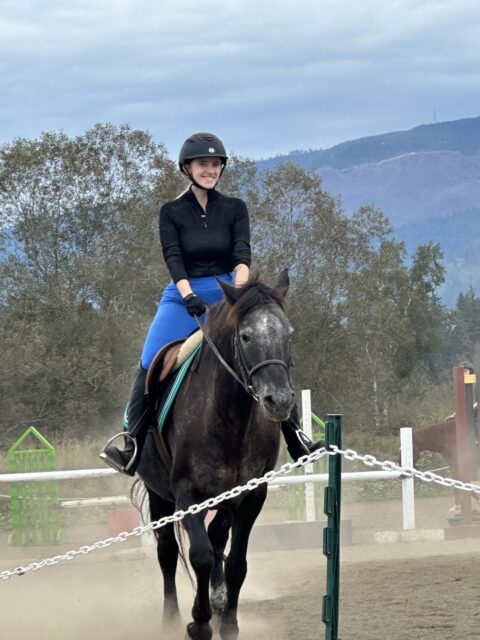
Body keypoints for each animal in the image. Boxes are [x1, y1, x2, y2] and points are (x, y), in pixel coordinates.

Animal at [135, 270, 295, 640]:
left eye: (288, 334)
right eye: (246, 336)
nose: (278, 401)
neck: (229, 417)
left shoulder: (252, 496)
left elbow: (236, 562)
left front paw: (228, 622)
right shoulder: (186, 494)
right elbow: (201, 556)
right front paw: (198, 622)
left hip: (224, 498)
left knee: (218, 537)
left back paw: (219, 600)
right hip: (158, 494)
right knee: (168, 552)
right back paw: (171, 619)